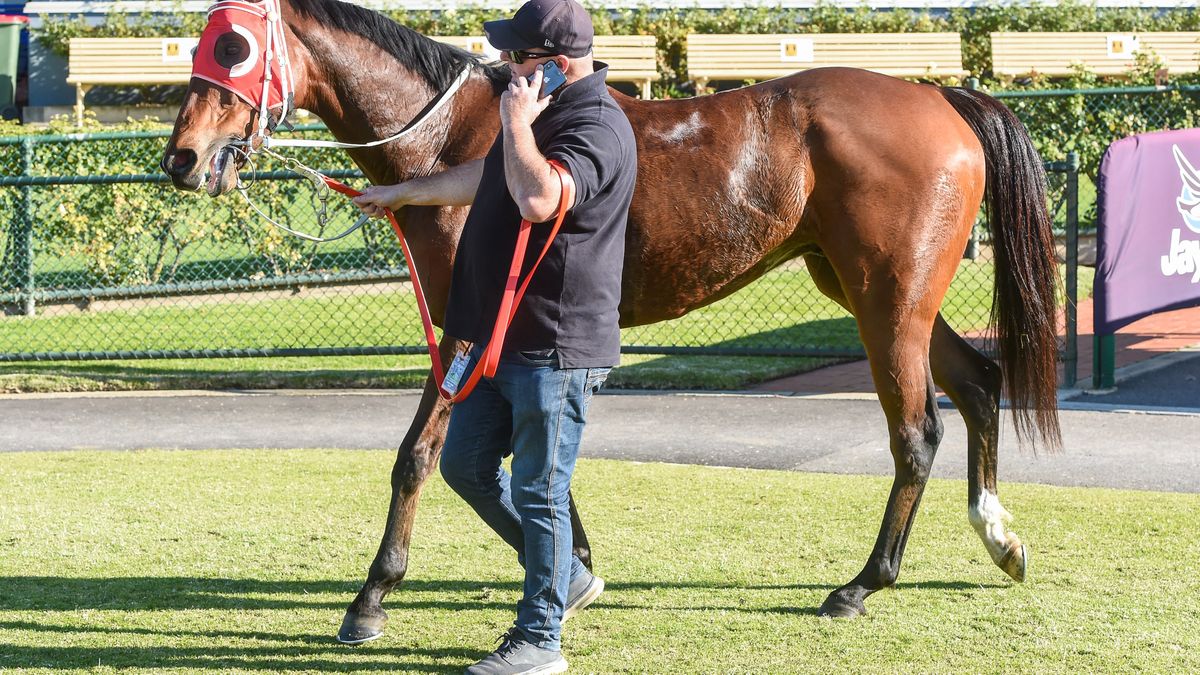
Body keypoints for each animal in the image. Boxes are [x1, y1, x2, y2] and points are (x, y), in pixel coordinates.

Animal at [162, 0, 1060, 643]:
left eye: (233, 48)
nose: (181, 157)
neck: (462, 138)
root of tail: (940, 98)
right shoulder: (511, 339)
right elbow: (524, 463)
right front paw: (575, 562)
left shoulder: (467, 325)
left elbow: (420, 457)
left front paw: (373, 593)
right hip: (874, 292)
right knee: (978, 380)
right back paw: (999, 534)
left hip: (887, 302)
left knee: (916, 432)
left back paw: (861, 583)